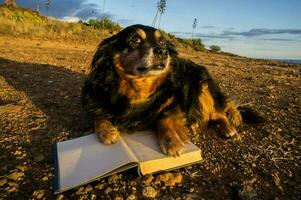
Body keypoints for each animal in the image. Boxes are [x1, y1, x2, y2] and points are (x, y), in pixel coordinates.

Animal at [82, 24, 244, 156]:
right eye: (135, 39)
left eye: (162, 42)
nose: (163, 52)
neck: (139, 88)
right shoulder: (94, 96)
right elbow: (98, 114)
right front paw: (107, 130)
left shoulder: (176, 102)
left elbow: (164, 117)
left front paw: (172, 141)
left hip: (203, 88)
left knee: (220, 112)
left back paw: (228, 128)